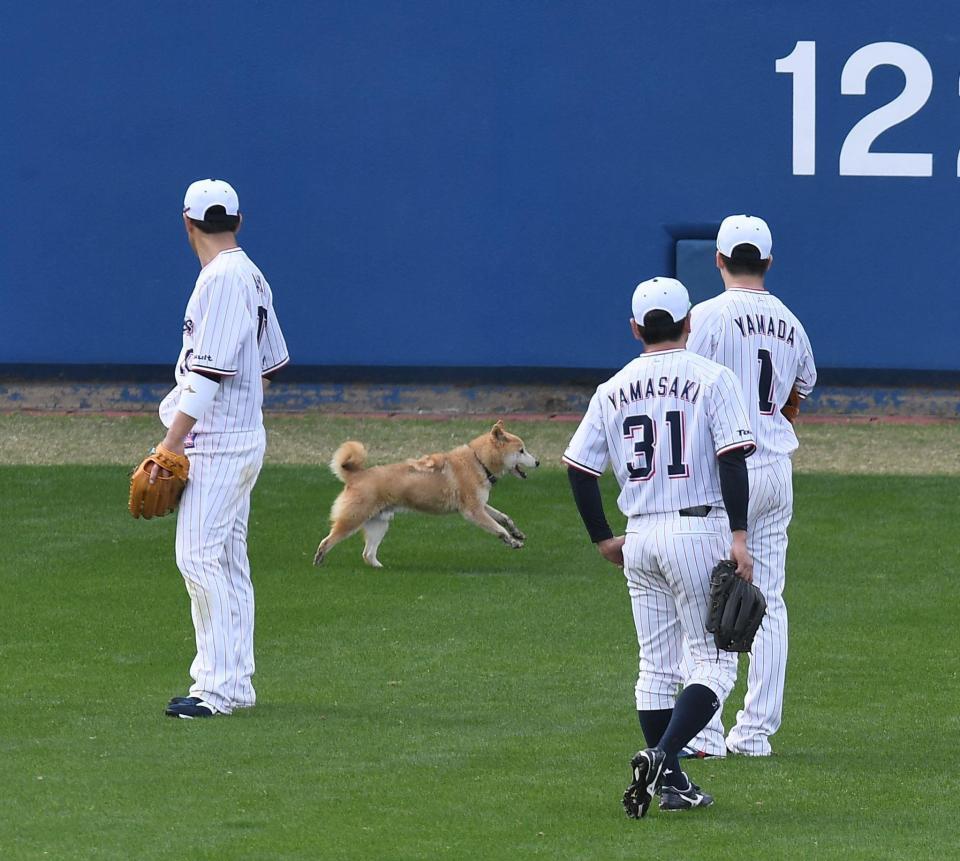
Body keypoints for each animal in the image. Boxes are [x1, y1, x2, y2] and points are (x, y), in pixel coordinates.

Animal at [316, 420, 540, 568]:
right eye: (521, 450)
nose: (538, 462)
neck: (478, 461)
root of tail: (356, 475)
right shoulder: (473, 511)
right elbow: (498, 528)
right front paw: (512, 541)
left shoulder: (481, 505)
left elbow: (504, 518)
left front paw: (516, 533)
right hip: (352, 521)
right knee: (327, 541)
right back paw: (319, 561)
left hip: (379, 525)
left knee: (367, 554)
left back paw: (381, 568)